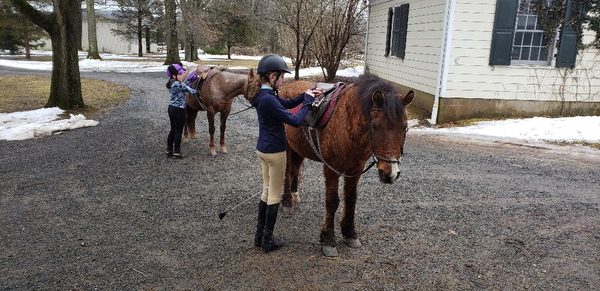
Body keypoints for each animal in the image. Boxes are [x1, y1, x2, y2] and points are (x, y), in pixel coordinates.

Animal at [278, 74, 414, 256]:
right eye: (374, 125)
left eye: (405, 127)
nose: (390, 173)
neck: (347, 121)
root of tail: (288, 86)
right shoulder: (331, 169)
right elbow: (332, 201)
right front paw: (328, 239)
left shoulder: (355, 169)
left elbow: (351, 199)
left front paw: (349, 233)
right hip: (286, 147)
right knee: (287, 173)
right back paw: (287, 202)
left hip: (299, 148)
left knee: (295, 170)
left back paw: (294, 195)